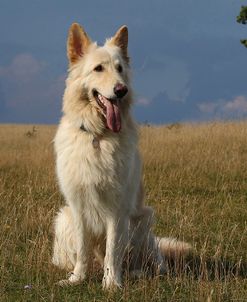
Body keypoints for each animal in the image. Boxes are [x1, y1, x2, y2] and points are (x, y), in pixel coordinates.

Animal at [52, 22, 191, 290]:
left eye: (120, 69)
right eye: (98, 68)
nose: (122, 90)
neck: (98, 136)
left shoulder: (117, 210)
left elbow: (112, 250)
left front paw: (111, 284)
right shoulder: (77, 206)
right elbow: (83, 250)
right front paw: (77, 278)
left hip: (142, 221)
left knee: (151, 264)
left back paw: (134, 273)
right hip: (64, 218)